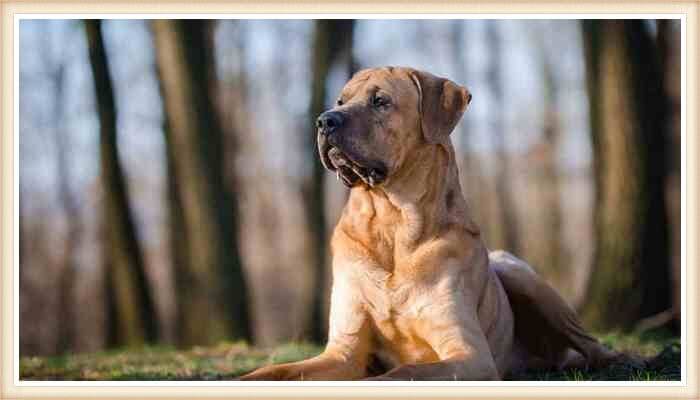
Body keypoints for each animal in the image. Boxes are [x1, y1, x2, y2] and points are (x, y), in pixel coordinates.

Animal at [241, 67, 624, 380]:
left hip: (522, 275)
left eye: (380, 101)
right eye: (341, 100)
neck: (392, 224)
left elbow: (402, 373)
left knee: (594, 345)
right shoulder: (344, 350)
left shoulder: (468, 354)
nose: (324, 121)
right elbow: (278, 370)